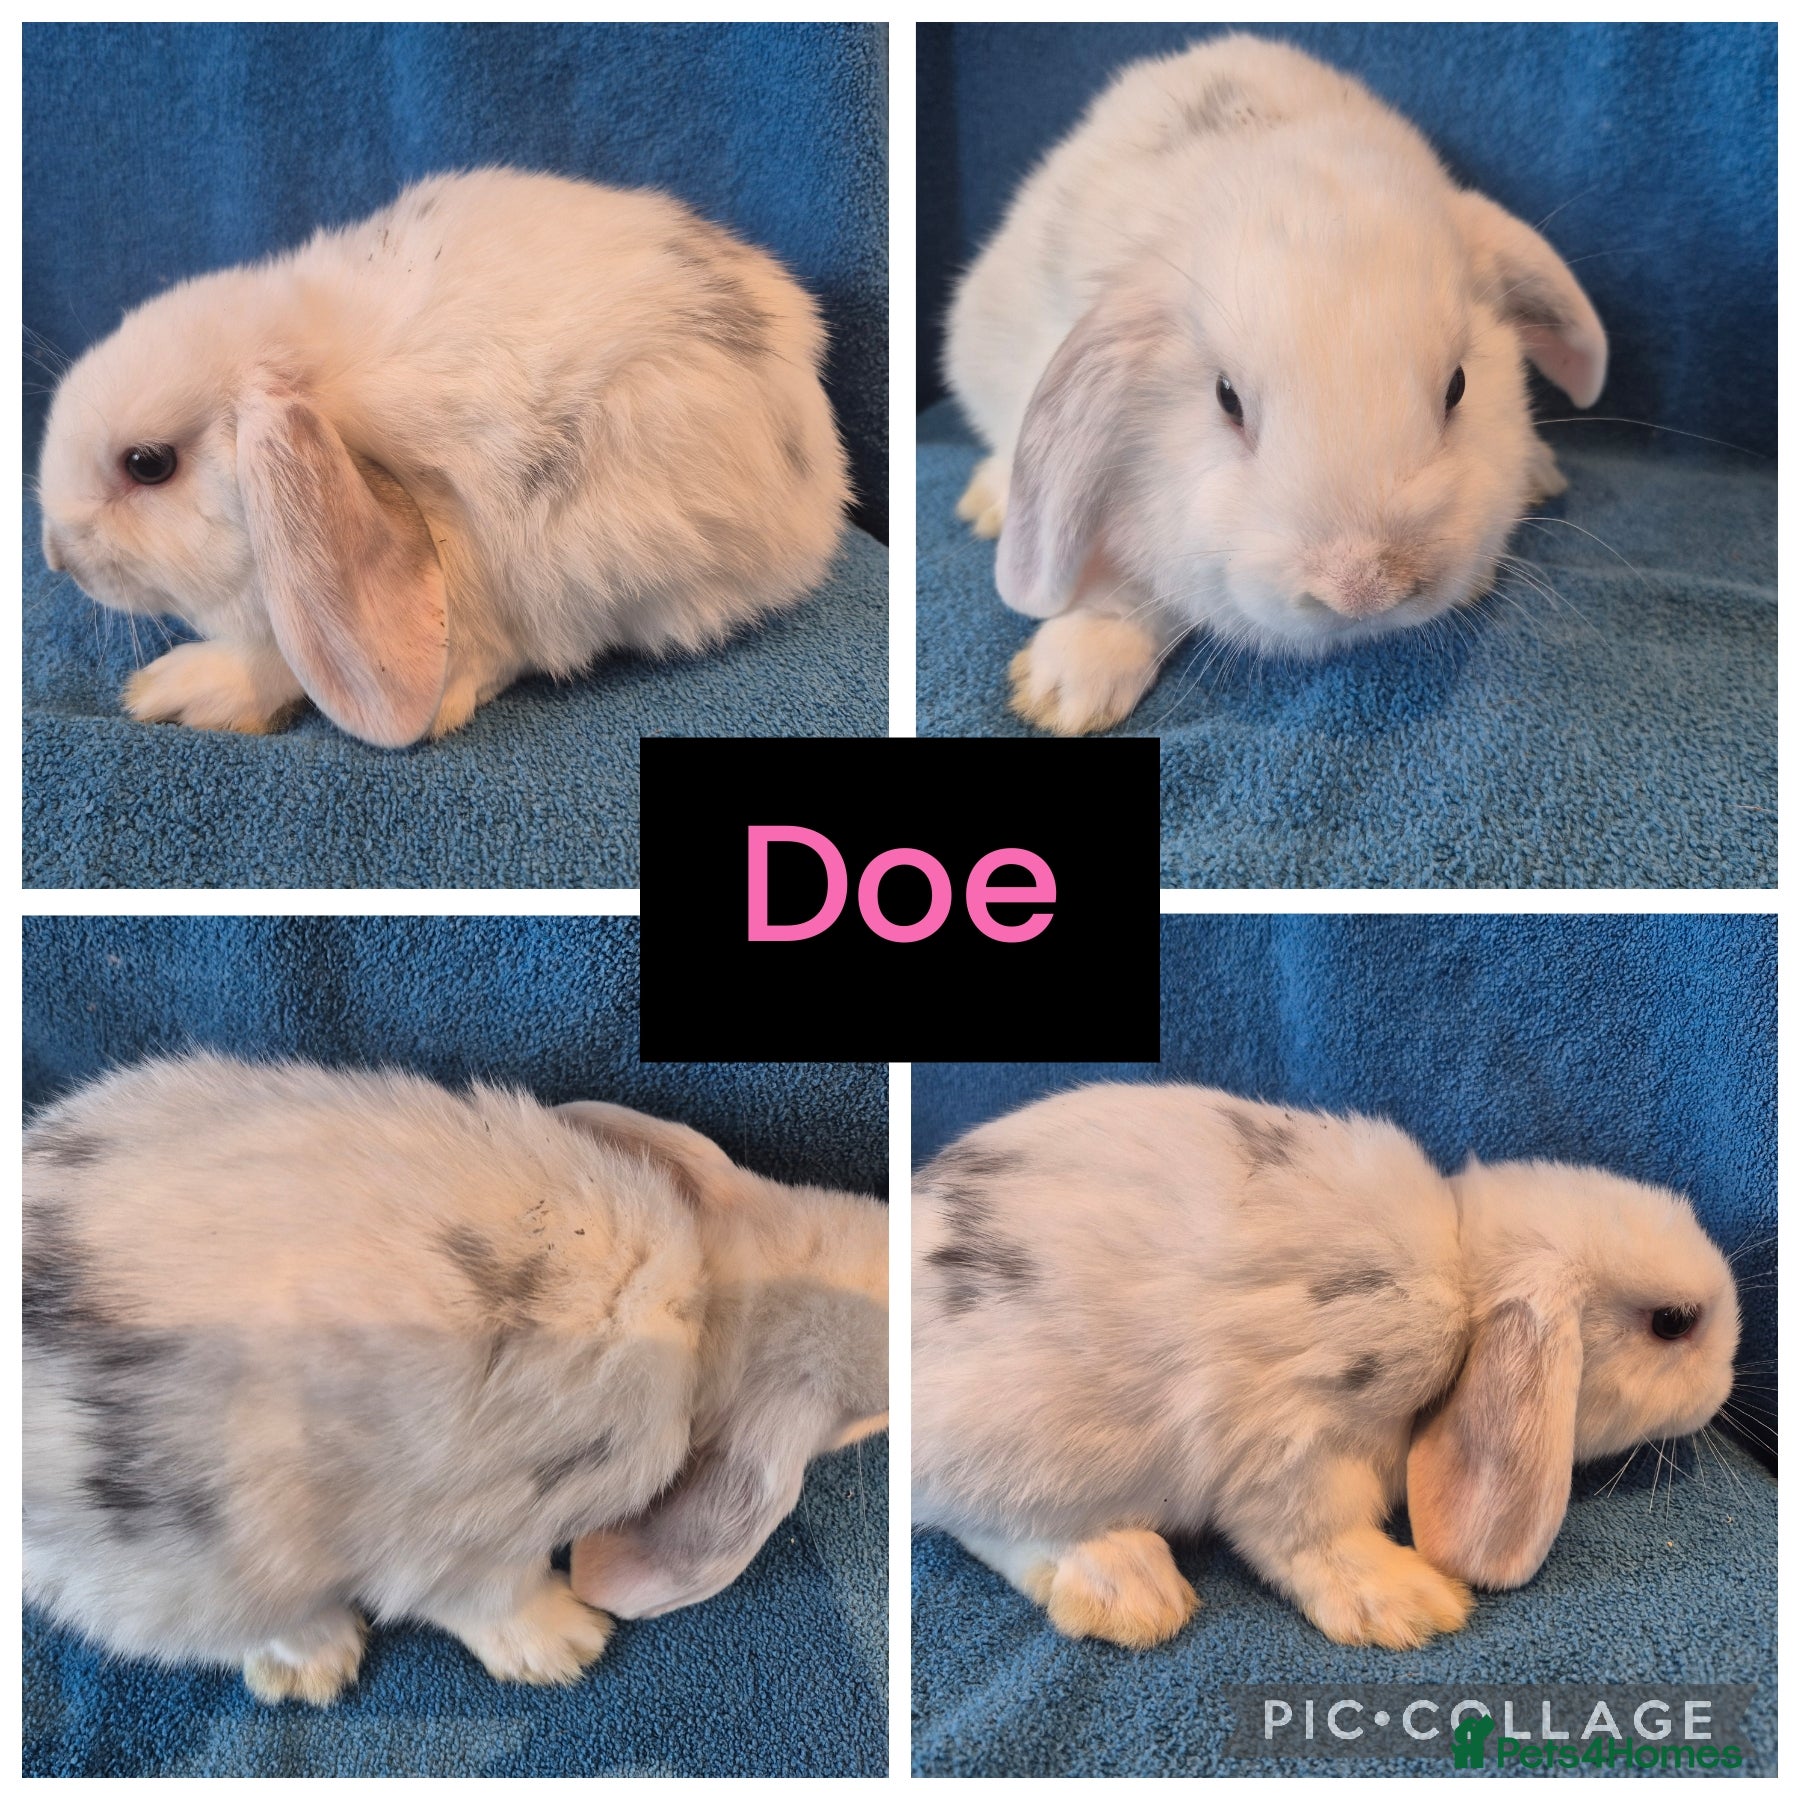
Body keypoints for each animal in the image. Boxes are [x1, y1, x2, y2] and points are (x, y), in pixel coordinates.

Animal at [23, 1054, 887, 1705]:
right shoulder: (463, 1544)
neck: (705, 1303)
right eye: (863, 1417)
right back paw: (314, 1665)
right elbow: (484, 1599)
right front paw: (568, 1644)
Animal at [912, 1083, 1737, 1650]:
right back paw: (1130, 1589)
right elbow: (1309, 1532)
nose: (1728, 1381)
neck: (1462, 1273)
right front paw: (1406, 1602)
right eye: (1673, 1323)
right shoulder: (1296, 1435)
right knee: (995, 1528)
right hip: (1027, 1450)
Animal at [943, 35, 1609, 734]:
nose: (1363, 588)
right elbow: (1131, 593)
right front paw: (1065, 687)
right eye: (1226, 398)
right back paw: (990, 503)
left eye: (1457, 386)